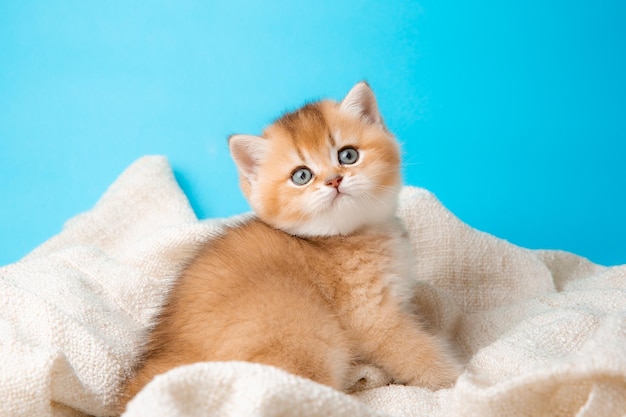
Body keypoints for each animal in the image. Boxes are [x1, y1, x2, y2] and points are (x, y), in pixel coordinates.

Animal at [119, 83, 458, 408]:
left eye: (347, 155)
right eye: (302, 175)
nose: (334, 180)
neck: (345, 236)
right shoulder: (376, 319)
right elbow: (418, 354)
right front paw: (458, 380)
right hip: (304, 338)